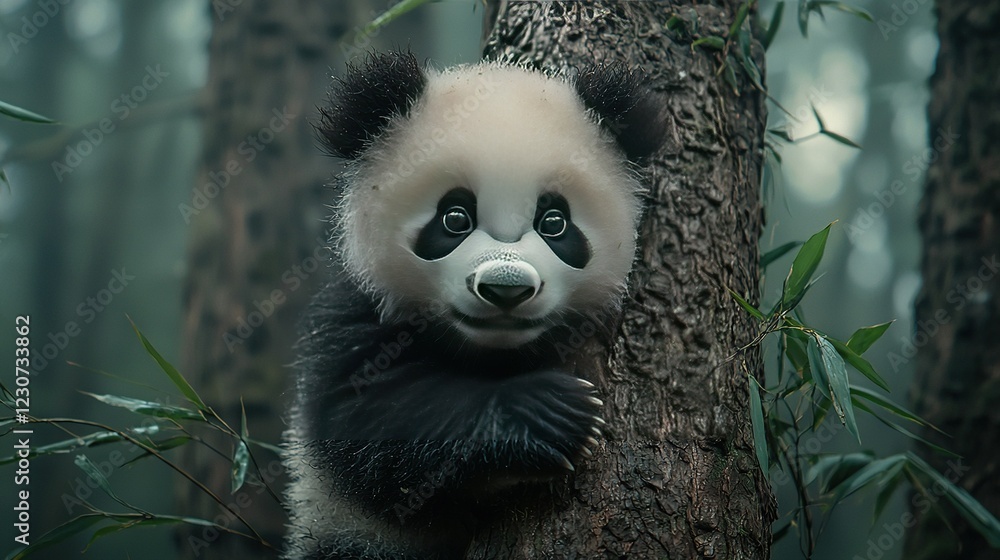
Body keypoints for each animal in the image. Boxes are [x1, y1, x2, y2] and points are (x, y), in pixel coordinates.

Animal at [283, 51, 663, 560]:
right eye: (455, 218)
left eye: (554, 222)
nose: (506, 289)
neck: (491, 348)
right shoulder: (359, 311)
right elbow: (367, 414)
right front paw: (550, 415)